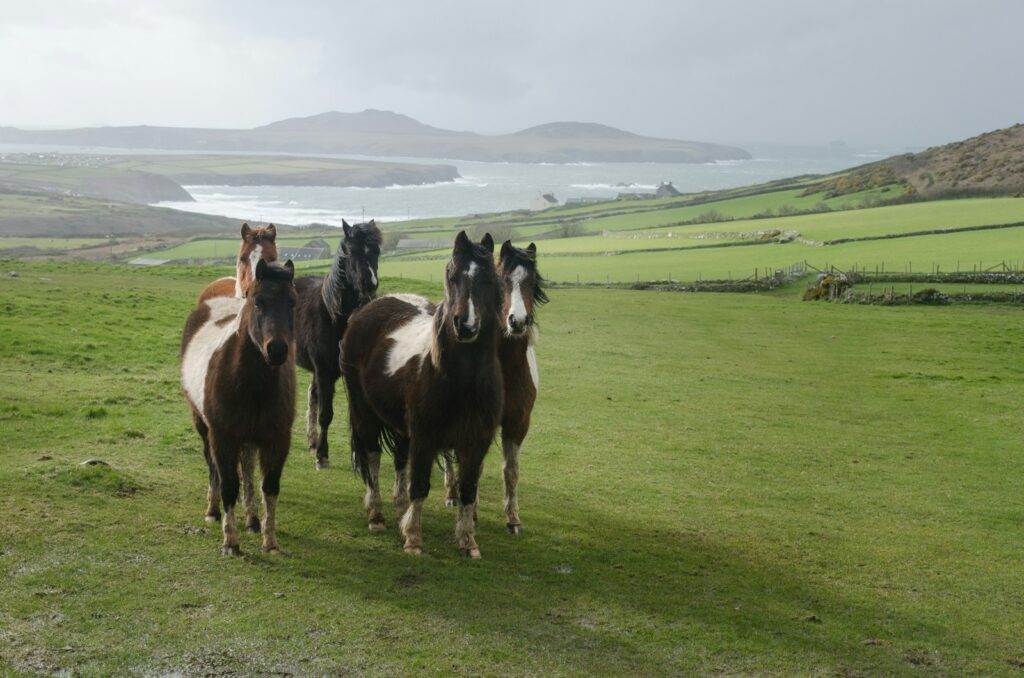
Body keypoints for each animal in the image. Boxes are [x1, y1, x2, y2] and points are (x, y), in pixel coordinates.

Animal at [180, 259, 298, 555]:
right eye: (258, 302)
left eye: (293, 302)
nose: (277, 350)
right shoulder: (222, 437)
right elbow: (229, 484)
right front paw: (230, 542)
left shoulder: (277, 439)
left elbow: (269, 486)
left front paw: (270, 541)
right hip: (204, 427)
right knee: (213, 466)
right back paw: (213, 510)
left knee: (247, 469)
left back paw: (253, 519)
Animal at [295, 219, 382, 470]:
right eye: (352, 252)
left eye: (376, 252)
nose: (370, 284)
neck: (334, 315)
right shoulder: (324, 371)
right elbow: (326, 414)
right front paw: (322, 455)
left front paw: (358, 458)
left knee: (312, 394)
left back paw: (312, 440)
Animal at [340, 231, 503, 558]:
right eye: (452, 275)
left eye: (488, 278)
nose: (465, 325)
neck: (462, 382)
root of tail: (368, 309)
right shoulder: (425, 437)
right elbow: (420, 485)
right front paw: (414, 538)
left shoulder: (476, 442)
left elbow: (467, 490)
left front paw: (467, 541)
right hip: (364, 412)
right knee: (373, 458)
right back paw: (376, 515)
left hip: (401, 427)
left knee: (400, 459)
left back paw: (399, 509)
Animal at [443, 240, 548, 534]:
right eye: (502, 281)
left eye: (531, 281)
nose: (517, 321)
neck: (507, 369)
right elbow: (473, 468)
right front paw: (473, 515)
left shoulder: (518, 422)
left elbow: (511, 470)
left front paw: (513, 519)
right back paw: (452, 494)